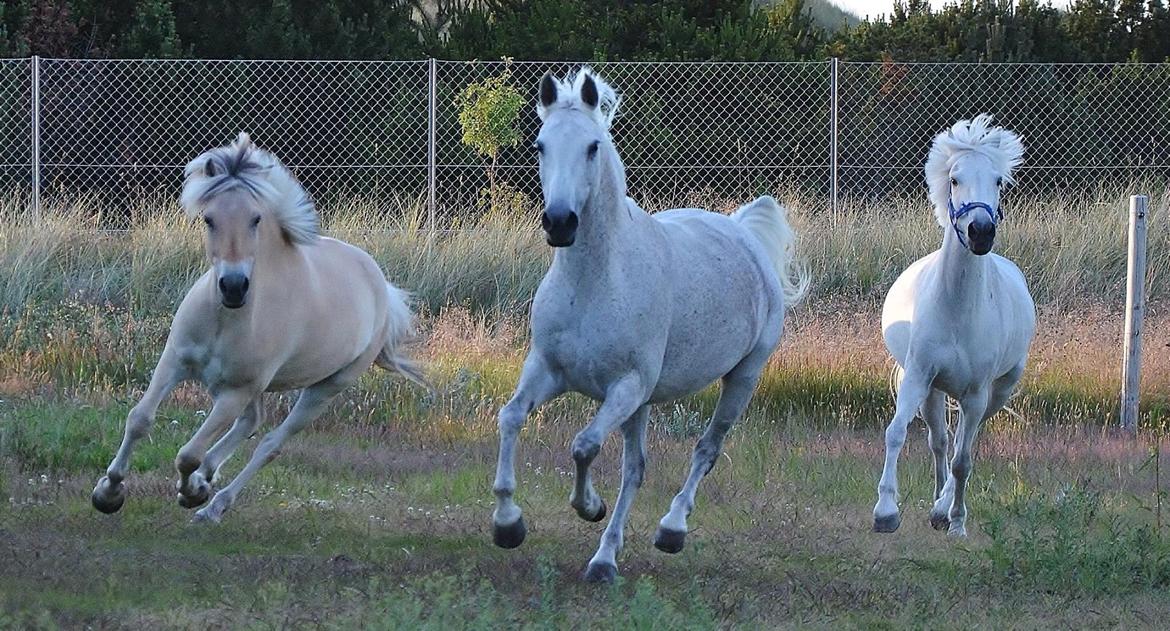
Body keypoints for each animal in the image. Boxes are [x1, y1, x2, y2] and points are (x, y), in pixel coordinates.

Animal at [875, 114, 1038, 538]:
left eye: (998, 181)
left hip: (997, 392)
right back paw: (934, 501)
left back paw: (943, 509)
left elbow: (964, 462)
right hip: (933, 393)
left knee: (966, 444)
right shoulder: (918, 377)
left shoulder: (976, 394)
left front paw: (955, 522)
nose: (980, 232)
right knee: (940, 441)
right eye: (954, 179)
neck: (956, 310)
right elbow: (896, 432)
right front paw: (885, 511)